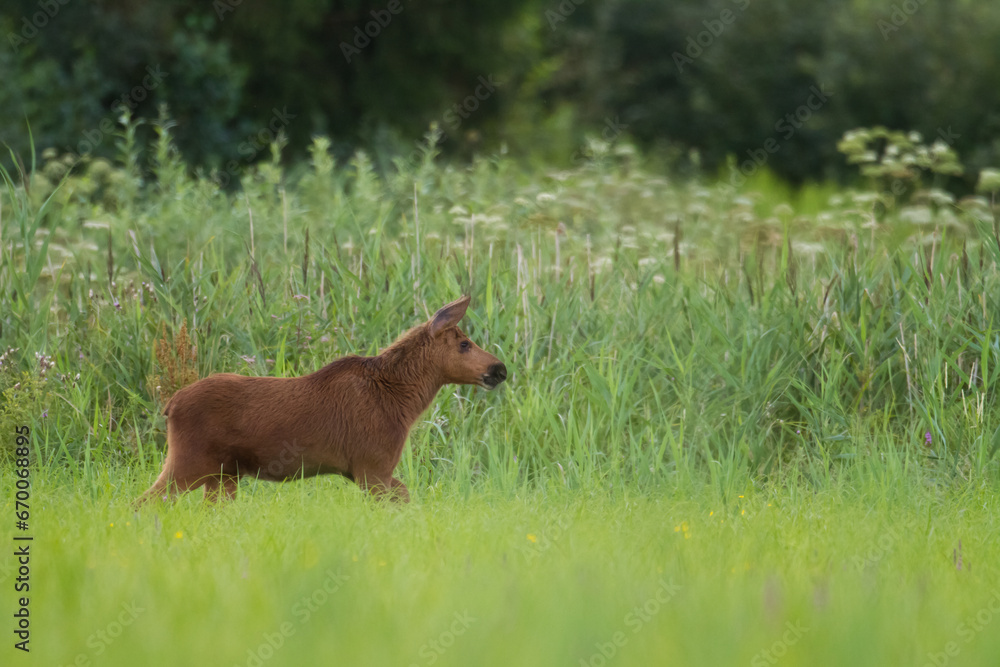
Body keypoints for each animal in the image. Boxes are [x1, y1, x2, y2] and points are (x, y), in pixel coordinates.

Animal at [136, 296, 506, 505]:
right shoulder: (372, 467)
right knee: (142, 503)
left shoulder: (365, 471)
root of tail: (169, 406)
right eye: (464, 344)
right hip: (189, 463)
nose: (499, 369)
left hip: (222, 474)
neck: (403, 400)